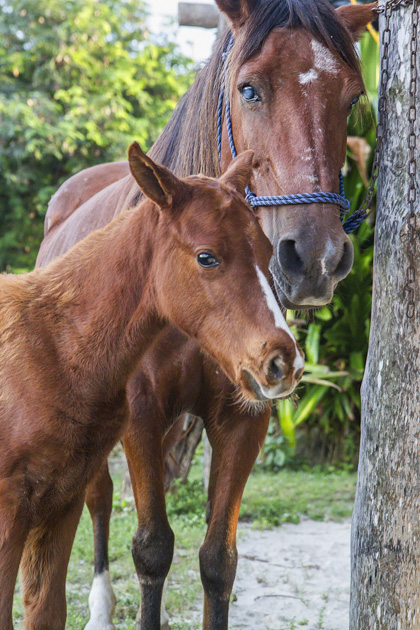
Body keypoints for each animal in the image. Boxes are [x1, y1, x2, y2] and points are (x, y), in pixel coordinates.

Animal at [0, 143, 306, 630]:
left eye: (265, 250)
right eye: (207, 256)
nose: (284, 363)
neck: (51, 345)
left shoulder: (57, 505)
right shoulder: (13, 511)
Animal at [35, 1, 378, 630]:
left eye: (351, 100)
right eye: (250, 90)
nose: (316, 257)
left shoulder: (245, 417)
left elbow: (219, 559)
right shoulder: (139, 414)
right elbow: (152, 548)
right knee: (97, 496)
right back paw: (99, 609)